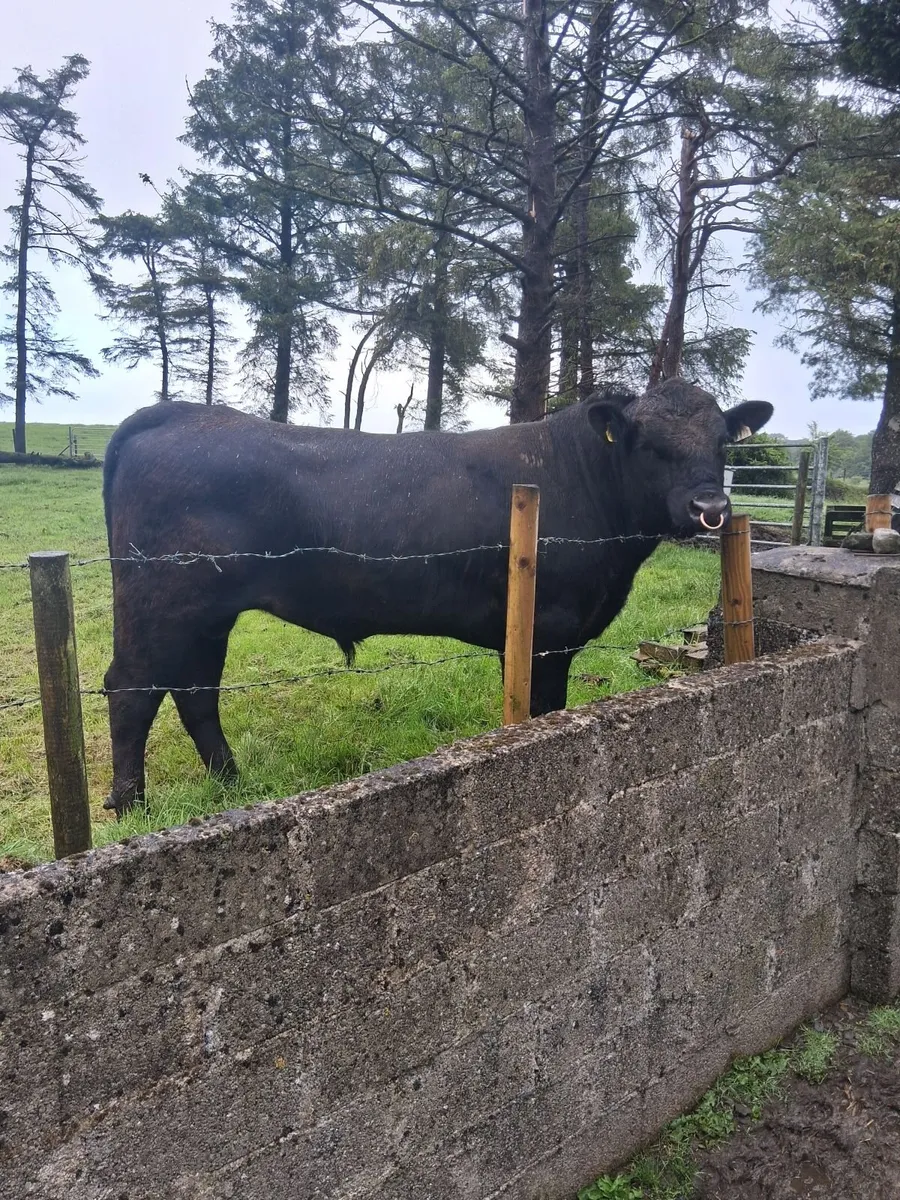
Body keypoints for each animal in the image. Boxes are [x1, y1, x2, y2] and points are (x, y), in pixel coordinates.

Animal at [101, 379, 772, 815]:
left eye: (722, 443)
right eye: (649, 444)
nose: (711, 508)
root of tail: (178, 415)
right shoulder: (548, 631)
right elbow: (543, 710)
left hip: (206, 614)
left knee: (195, 691)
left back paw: (232, 785)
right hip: (162, 602)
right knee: (131, 688)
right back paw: (131, 805)